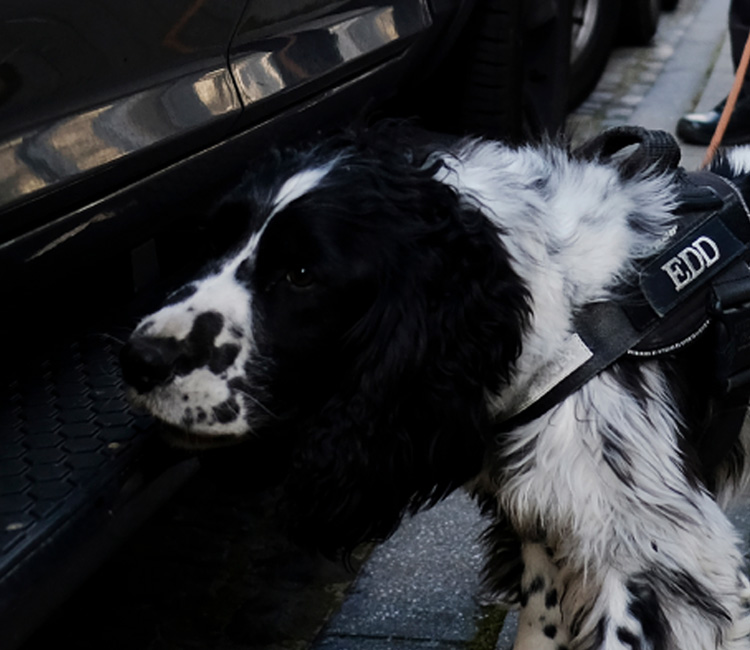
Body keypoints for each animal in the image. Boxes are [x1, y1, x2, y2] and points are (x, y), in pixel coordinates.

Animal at [119, 128, 750, 648]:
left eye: (301, 275)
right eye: (213, 243)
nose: (139, 359)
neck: (558, 305)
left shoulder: (656, 557)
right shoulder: (547, 520)